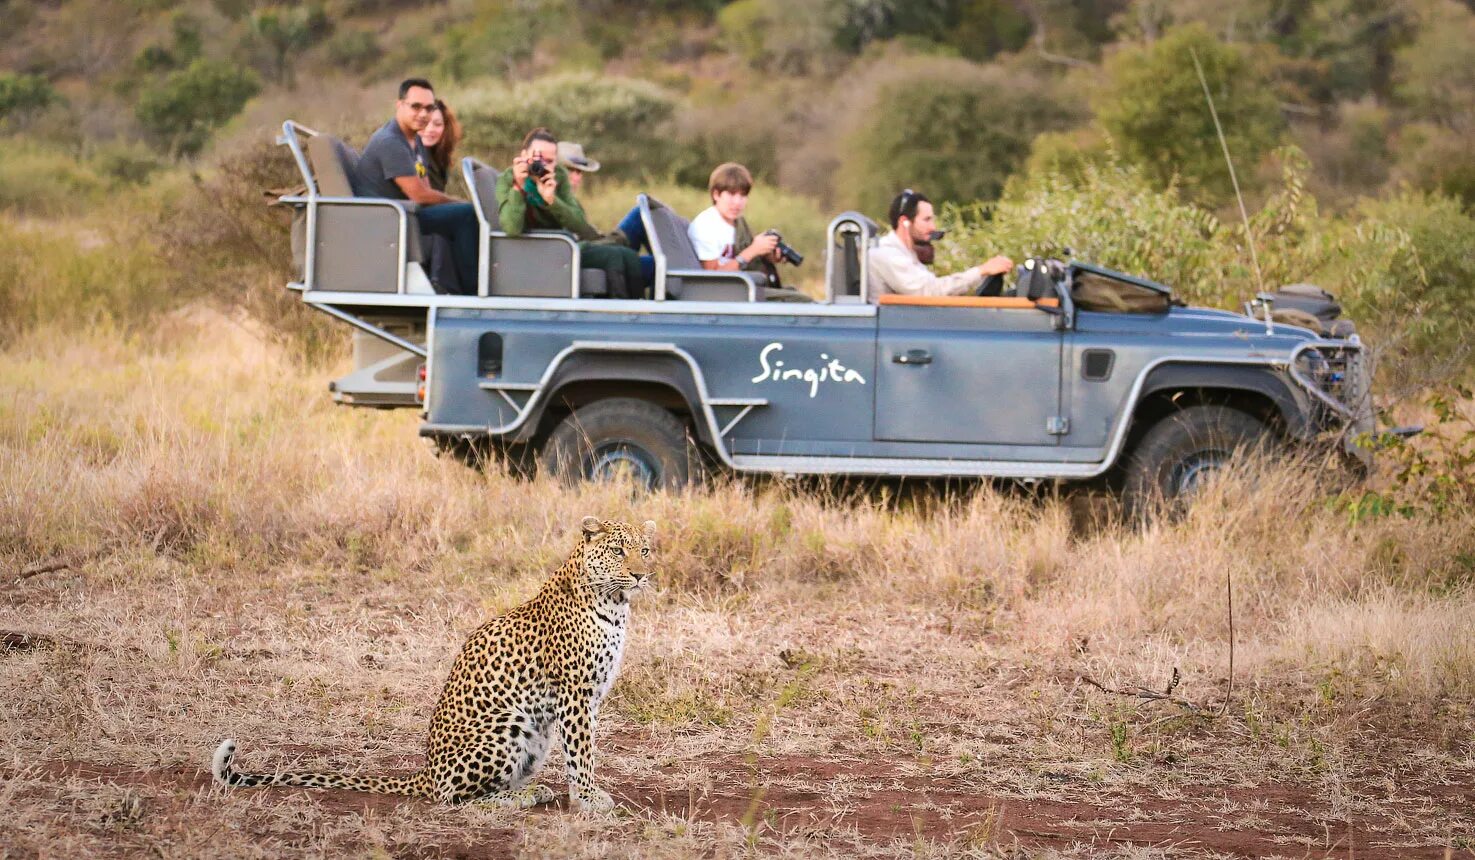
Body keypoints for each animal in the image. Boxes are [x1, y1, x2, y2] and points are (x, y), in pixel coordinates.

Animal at [212, 519, 657, 814]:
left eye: (645, 550)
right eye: (618, 550)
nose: (640, 574)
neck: (615, 605)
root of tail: (425, 771)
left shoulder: (589, 697)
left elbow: (585, 750)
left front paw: (584, 796)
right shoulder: (575, 693)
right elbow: (582, 752)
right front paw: (589, 799)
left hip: (537, 735)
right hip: (508, 726)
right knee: (453, 797)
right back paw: (521, 797)